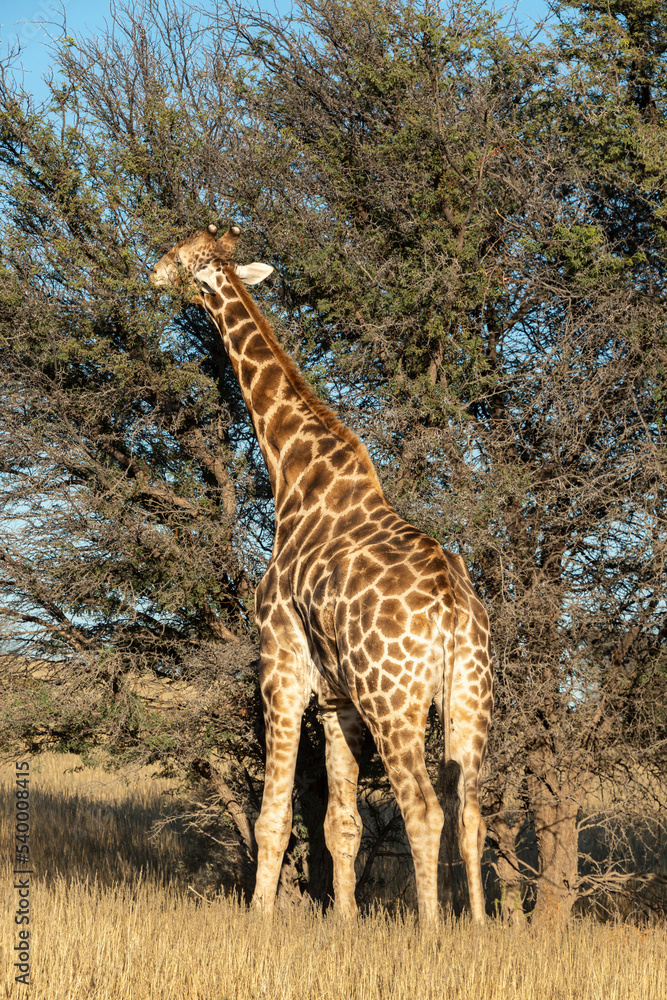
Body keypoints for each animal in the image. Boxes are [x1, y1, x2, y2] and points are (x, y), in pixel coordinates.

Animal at [151, 223, 493, 921]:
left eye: (182, 256)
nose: (151, 271)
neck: (295, 471)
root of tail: (452, 607)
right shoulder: (337, 695)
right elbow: (342, 823)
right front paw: (343, 922)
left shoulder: (280, 663)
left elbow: (273, 817)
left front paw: (259, 918)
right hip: (471, 693)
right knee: (472, 809)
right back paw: (477, 928)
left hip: (395, 698)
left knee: (423, 807)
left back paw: (432, 931)